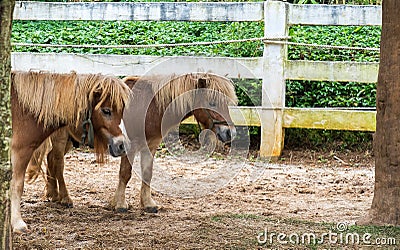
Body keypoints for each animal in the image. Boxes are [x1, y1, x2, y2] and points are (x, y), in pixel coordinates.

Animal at [10, 71, 130, 234]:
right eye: (106, 111)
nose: (122, 145)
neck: (24, 109)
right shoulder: (20, 152)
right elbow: (17, 186)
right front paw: (17, 223)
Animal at [25, 73, 238, 215]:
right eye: (211, 102)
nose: (230, 133)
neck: (150, 106)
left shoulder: (150, 146)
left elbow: (147, 173)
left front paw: (148, 203)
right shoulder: (129, 146)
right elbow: (125, 174)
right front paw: (119, 204)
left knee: (51, 160)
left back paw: (53, 194)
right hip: (61, 139)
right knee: (58, 164)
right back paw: (65, 198)